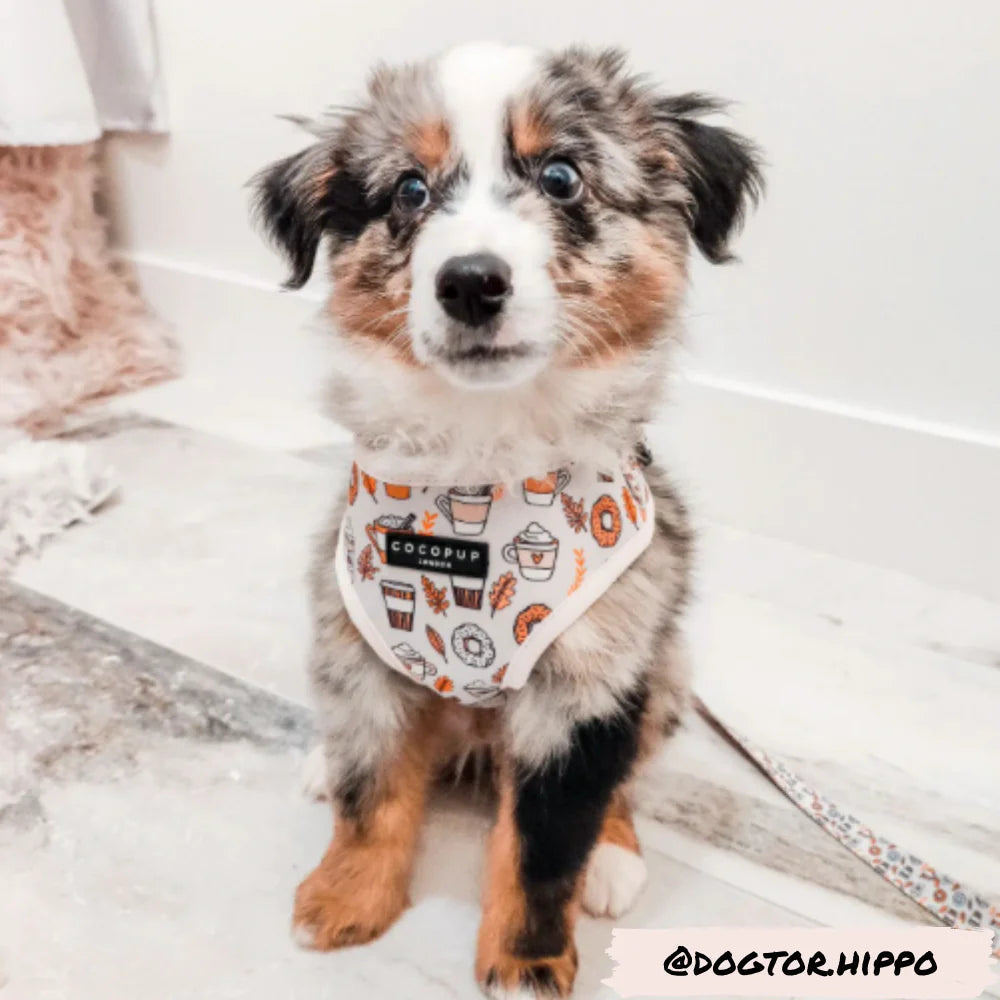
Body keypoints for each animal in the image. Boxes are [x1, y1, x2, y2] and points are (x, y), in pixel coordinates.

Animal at [254, 41, 760, 1000]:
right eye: (409, 191)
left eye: (561, 177)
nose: (471, 282)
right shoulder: (358, 636)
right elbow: (372, 792)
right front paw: (341, 901)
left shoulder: (589, 681)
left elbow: (543, 844)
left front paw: (526, 962)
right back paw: (322, 763)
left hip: (666, 664)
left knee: (624, 777)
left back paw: (616, 857)